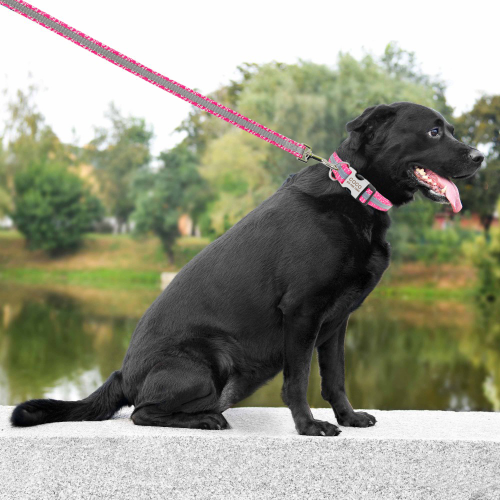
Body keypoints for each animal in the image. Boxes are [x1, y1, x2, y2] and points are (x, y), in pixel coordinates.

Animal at [10, 103, 480, 436]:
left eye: (452, 129)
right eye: (434, 130)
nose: (479, 157)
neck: (354, 193)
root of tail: (123, 374)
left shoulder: (337, 321)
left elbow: (335, 379)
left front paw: (347, 418)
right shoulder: (302, 313)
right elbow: (297, 380)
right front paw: (308, 426)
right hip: (208, 362)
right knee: (141, 413)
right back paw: (205, 421)